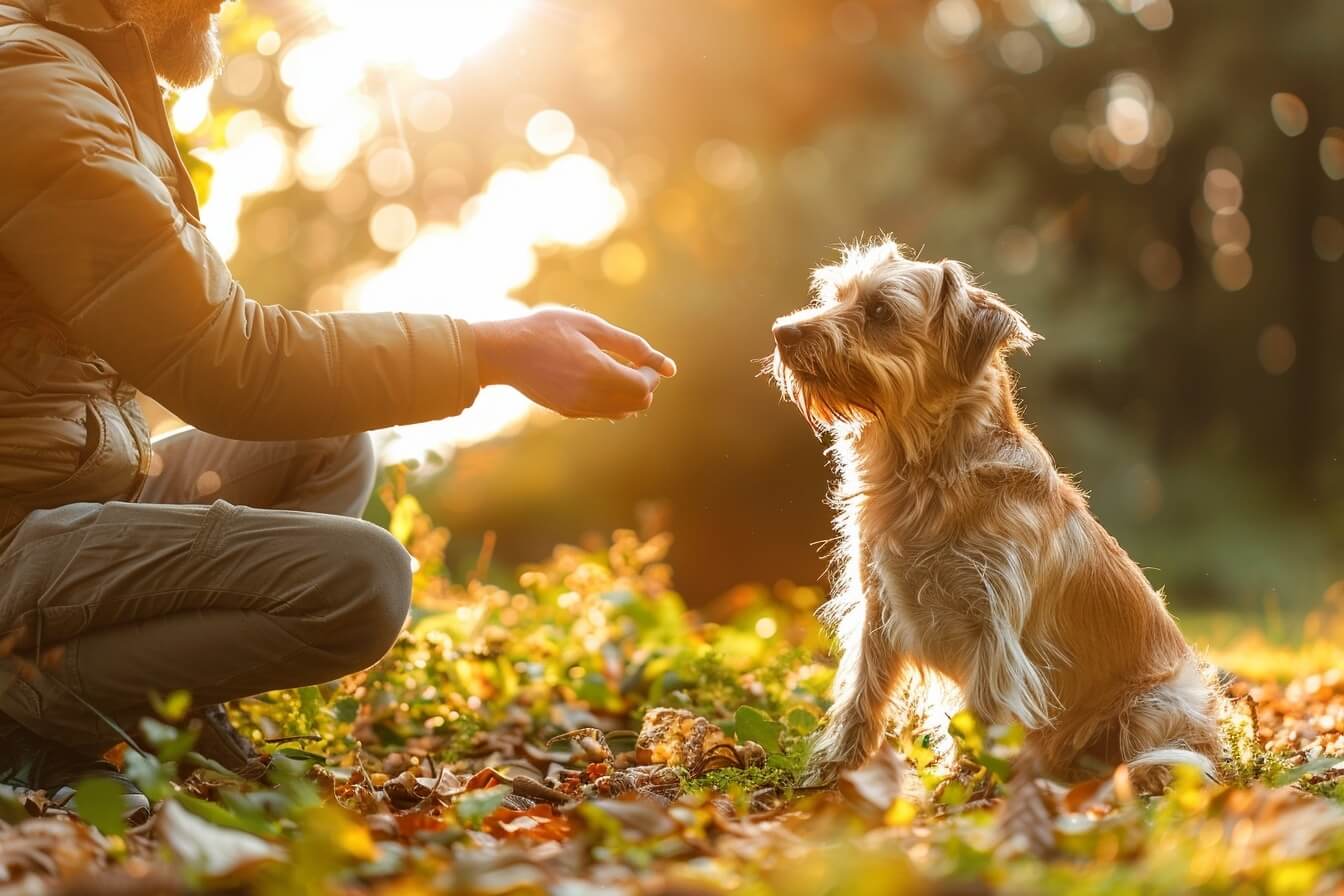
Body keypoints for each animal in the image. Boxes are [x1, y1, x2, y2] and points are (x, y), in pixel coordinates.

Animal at [768, 237, 1220, 789]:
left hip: (1156, 702)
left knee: (1172, 754)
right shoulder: (877, 609)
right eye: (834, 296)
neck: (926, 476)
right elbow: (861, 695)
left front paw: (963, 786)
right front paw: (833, 771)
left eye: (880, 312)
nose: (783, 331)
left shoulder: (994, 627)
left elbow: (982, 711)